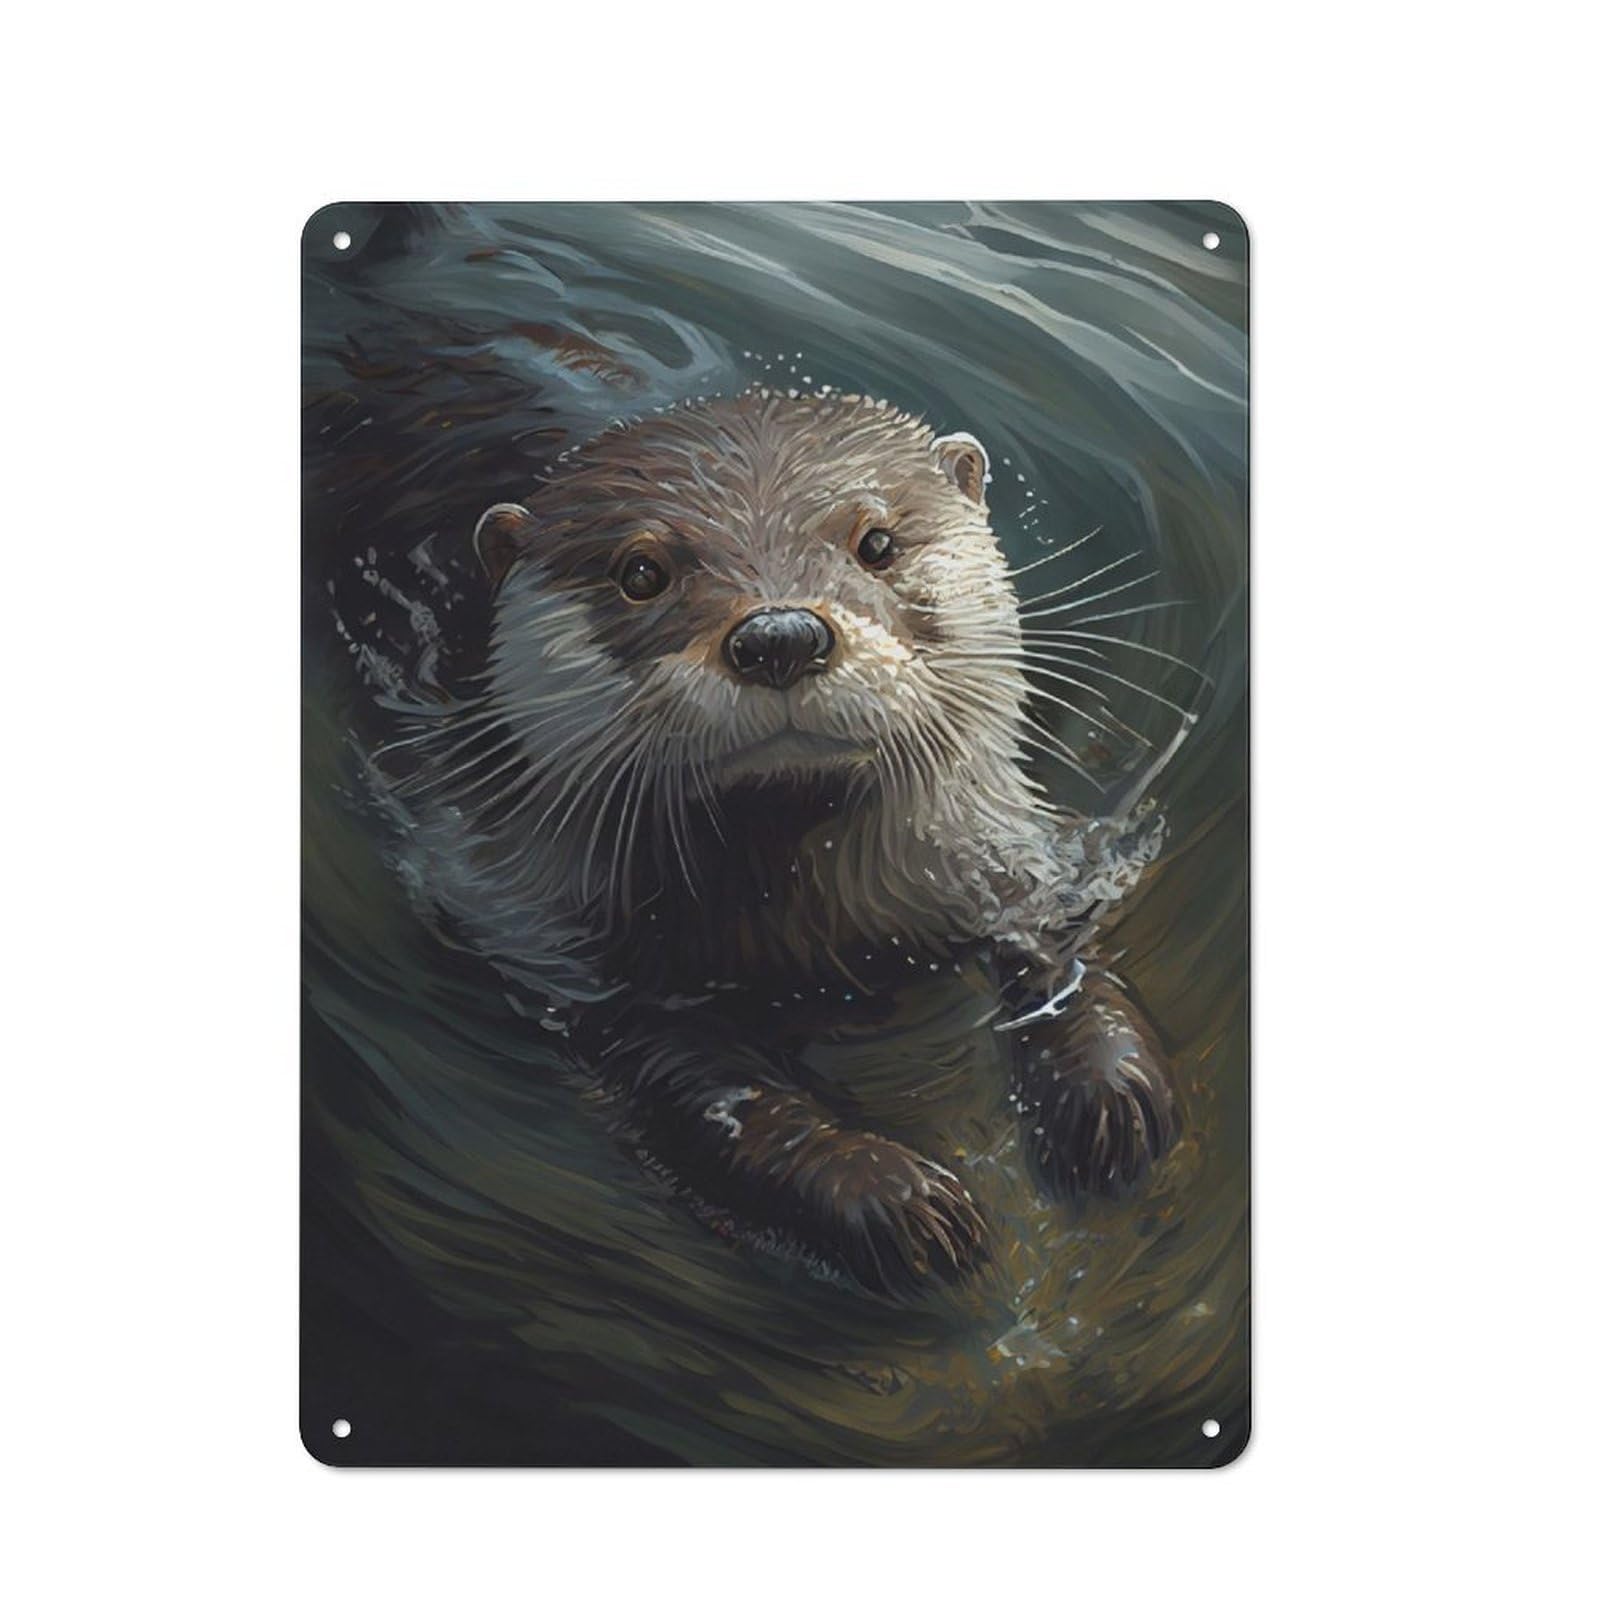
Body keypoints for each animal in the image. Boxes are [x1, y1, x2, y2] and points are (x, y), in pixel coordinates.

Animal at [402, 390, 1178, 1297]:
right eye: (641, 573)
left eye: (876, 543)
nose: (779, 635)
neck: (820, 921)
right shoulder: (563, 949)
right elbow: (717, 1097)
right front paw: (890, 1197)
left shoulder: (1005, 857)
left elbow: (1062, 946)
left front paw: (1111, 1093)